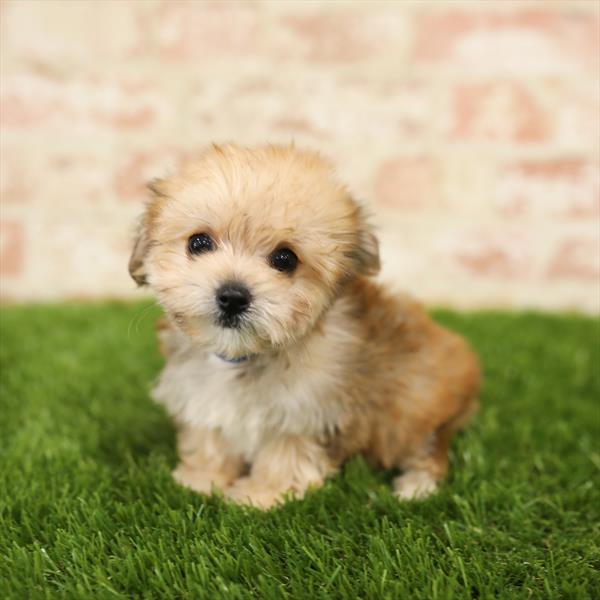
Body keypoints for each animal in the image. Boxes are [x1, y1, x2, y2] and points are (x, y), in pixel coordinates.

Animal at [129, 144, 480, 506]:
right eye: (198, 243)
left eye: (285, 259)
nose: (233, 296)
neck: (243, 356)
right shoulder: (201, 393)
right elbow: (210, 436)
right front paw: (200, 479)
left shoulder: (305, 410)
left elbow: (285, 454)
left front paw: (261, 495)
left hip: (416, 407)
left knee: (430, 451)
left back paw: (415, 487)